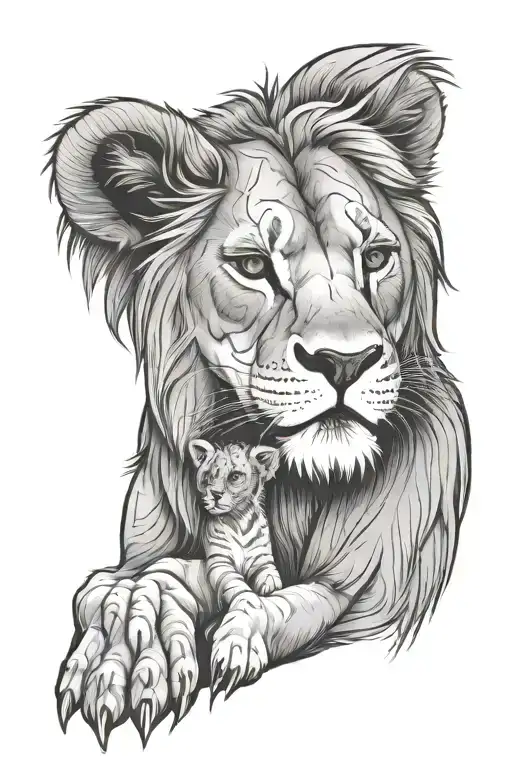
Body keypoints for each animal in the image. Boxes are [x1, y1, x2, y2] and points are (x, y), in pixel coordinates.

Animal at [47, 44, 470, 750]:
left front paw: (225, 635)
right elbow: (135, 581)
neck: (290, 488)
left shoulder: (369, 591)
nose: (345, 361)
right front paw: (130, 632)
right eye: (253, 268)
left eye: (376, 257)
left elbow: (281, 604)